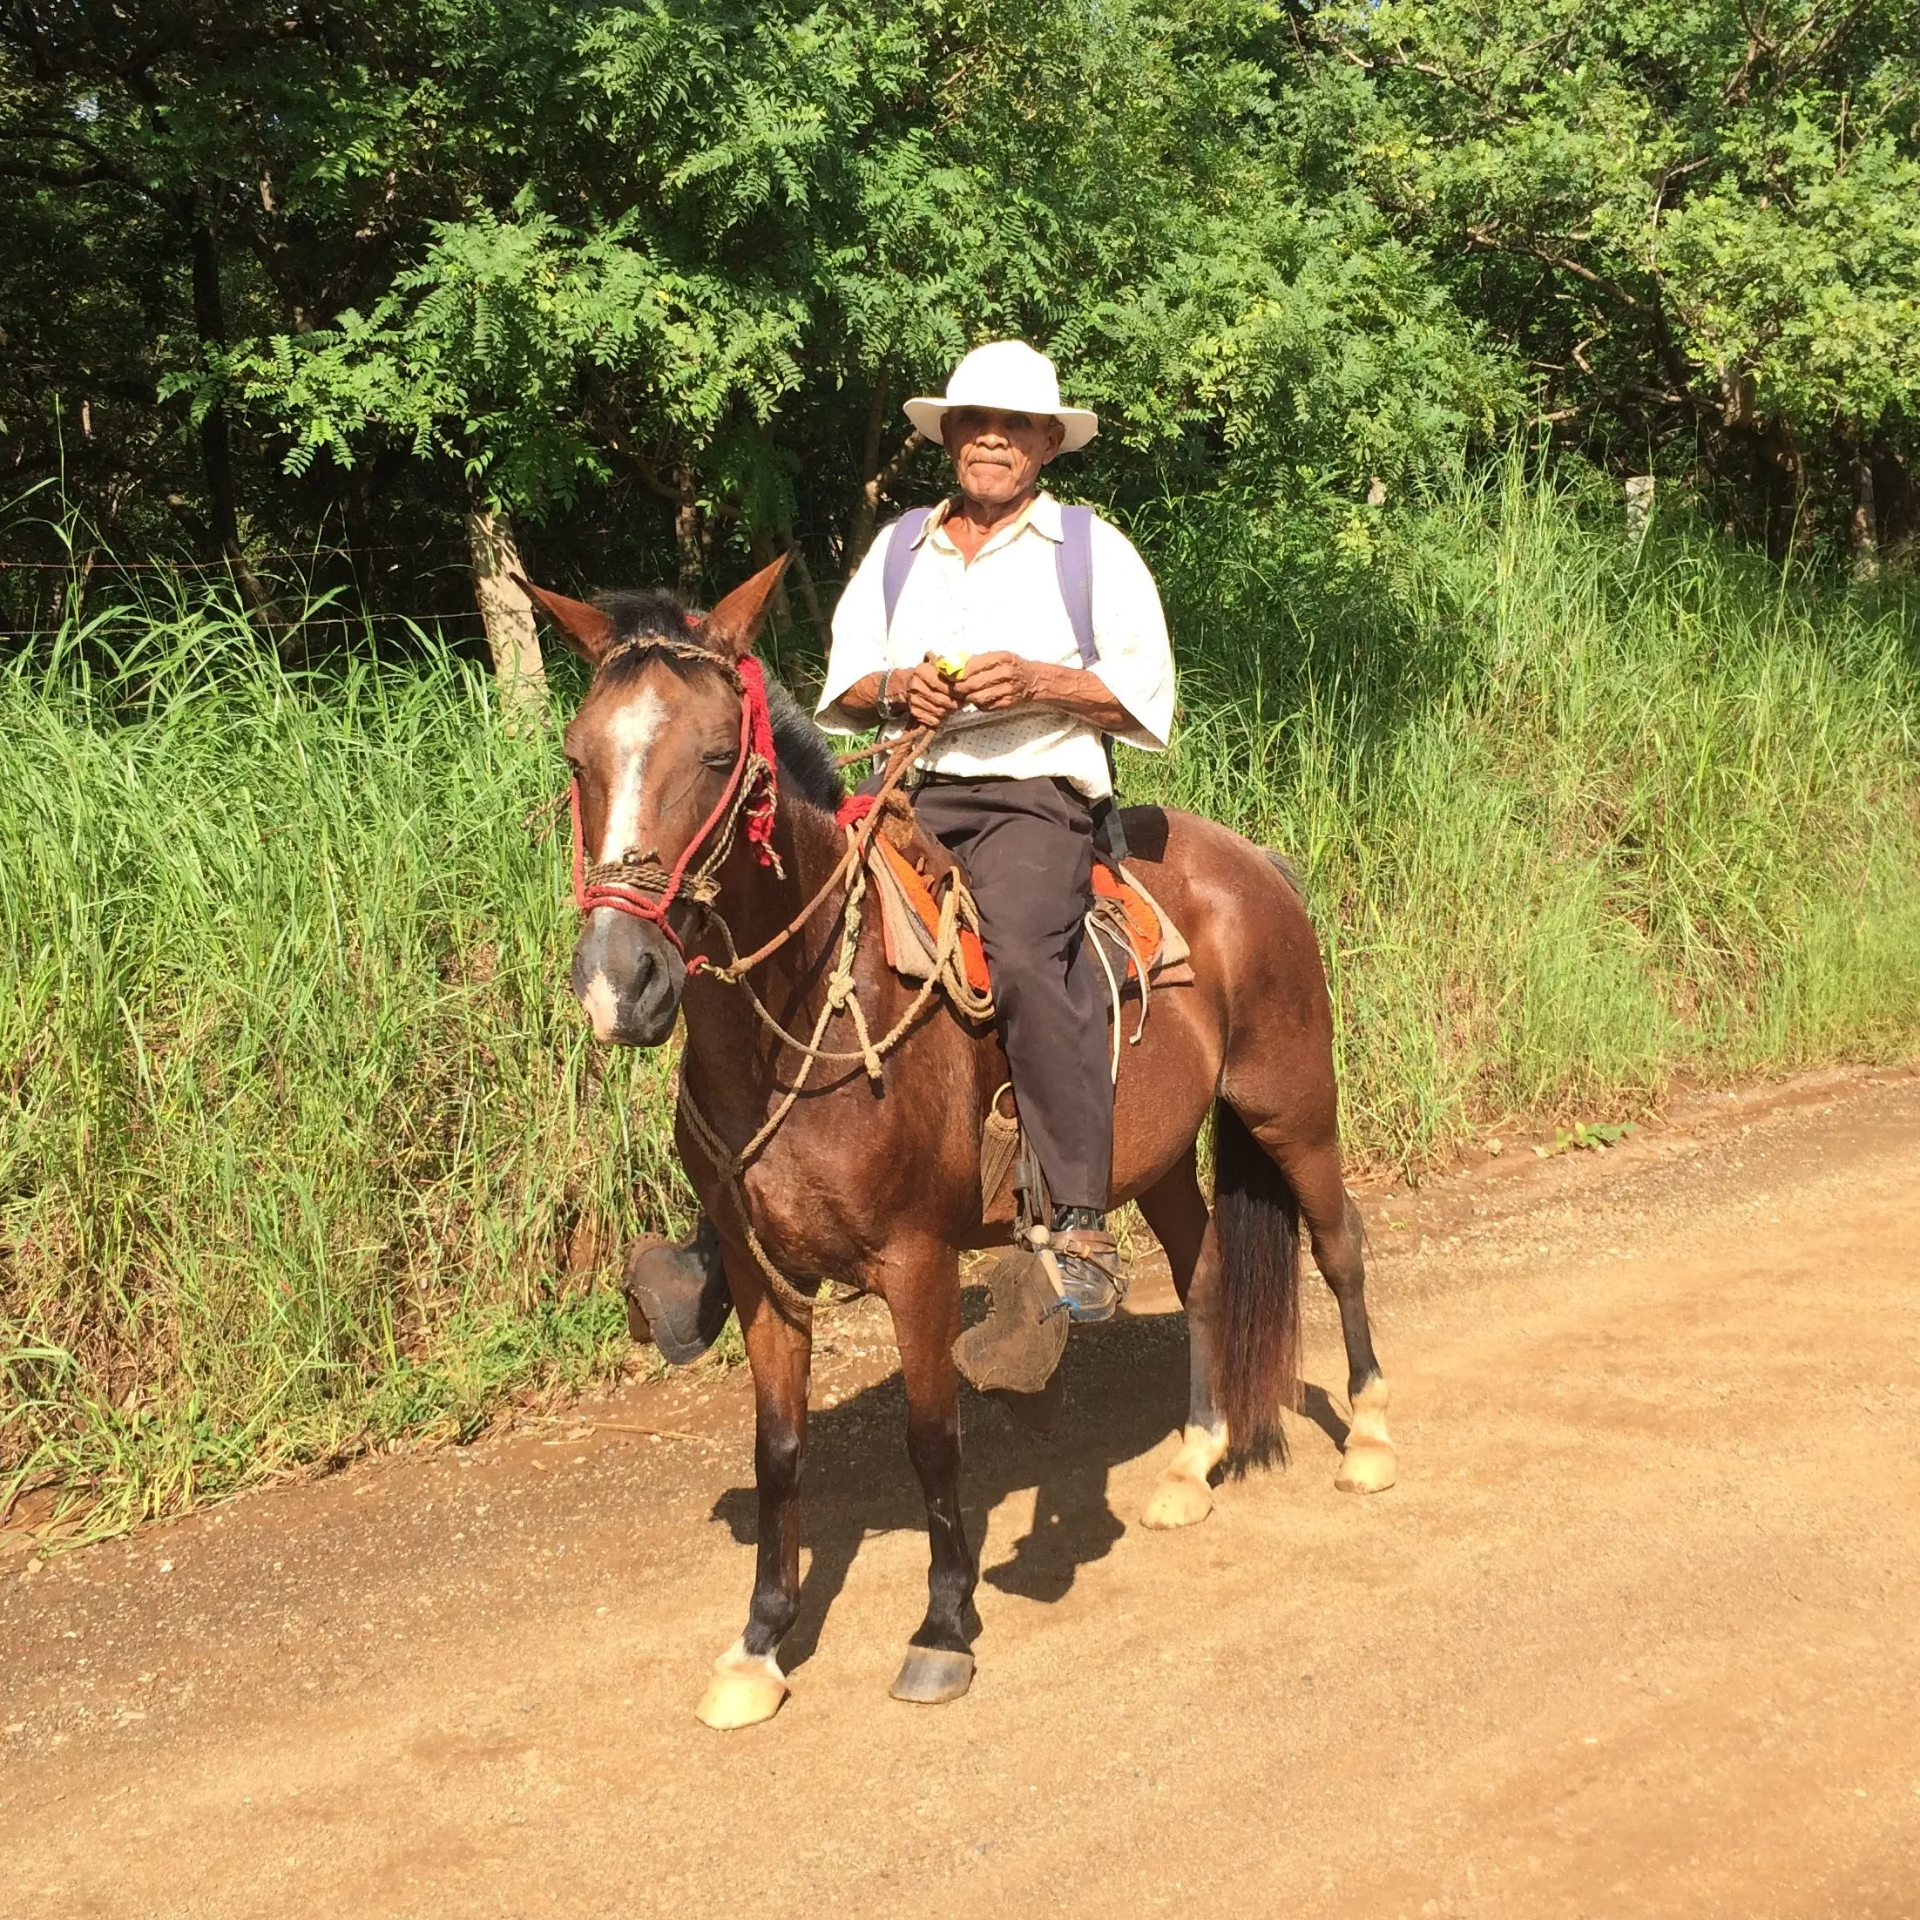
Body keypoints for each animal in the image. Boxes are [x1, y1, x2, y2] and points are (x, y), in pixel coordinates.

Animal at [529, 552, 1397, 1728]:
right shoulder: (761, 1273)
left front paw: (942, 1629)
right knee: (1206, 1267)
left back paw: (1373, 1438)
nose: (621, 981)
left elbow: (933, 1442)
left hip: (1291, 1101)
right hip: (1161, 1156)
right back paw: (1193, 1463)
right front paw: (760, 1644)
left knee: (1340, 1242)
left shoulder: (918, 1260)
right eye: (579, 757)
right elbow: (780, 1450)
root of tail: (1252, 861)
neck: (809, 1003)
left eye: (717, 758)